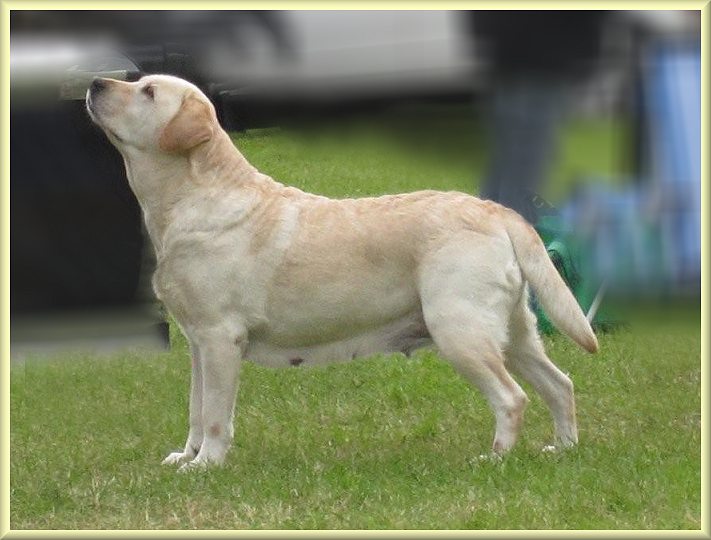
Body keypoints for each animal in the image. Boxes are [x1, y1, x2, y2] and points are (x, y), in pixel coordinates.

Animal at [87, 74, 600, 470]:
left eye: (148, 91)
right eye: (139, 81)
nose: (95, 82)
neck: (189, 198)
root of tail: (497, 211)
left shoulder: (219, 337)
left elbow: (215, 414)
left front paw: (206, 465)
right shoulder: (198, 341)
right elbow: (195, 409)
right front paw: (186, 455)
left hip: (461, 330)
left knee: (512, 398)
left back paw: (494, 459)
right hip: (514, 332)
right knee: (560, 384)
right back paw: (562, 449)